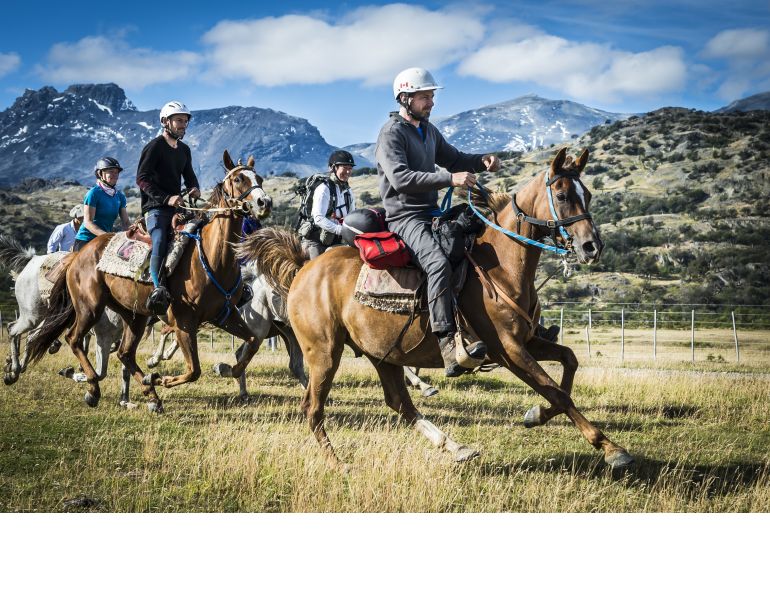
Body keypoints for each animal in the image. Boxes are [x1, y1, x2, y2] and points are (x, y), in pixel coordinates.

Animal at [0, 236, 131, 402]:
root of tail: (33, 259)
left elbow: (121, 367)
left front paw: (124, 398)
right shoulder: (103, 336)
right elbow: (100, 372)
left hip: (45, 318)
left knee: (30, 337)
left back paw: (13, 367)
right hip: (32, 316)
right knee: (13, 329)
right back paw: (14, 369)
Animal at [24, 151, 273, 412]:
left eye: (259, 178)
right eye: (238, 179)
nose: (264, 203)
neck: (213, 258)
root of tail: (79, 255)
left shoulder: (225, 315)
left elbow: (253, 342)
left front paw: (224, 368)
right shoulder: (184, 322)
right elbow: (193, 370)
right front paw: (161, 378)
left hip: (135, 316)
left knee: (125, 353)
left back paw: (151, 395)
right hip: (89, 307)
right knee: (74, 339)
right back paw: (93, 388)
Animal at [237, 147, 634, 470]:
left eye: (588, 193)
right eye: (563, 195)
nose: (591, 246)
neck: (502, 266)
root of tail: (304, 269)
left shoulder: (528, 341)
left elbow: (569, 362)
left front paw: (536, 416)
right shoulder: (508, 350)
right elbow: (556, 390)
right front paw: (612, 449)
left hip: (383, 354)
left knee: (400, 403)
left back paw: (455, 447)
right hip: (324, 353)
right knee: (313, 408)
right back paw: (339, 465)